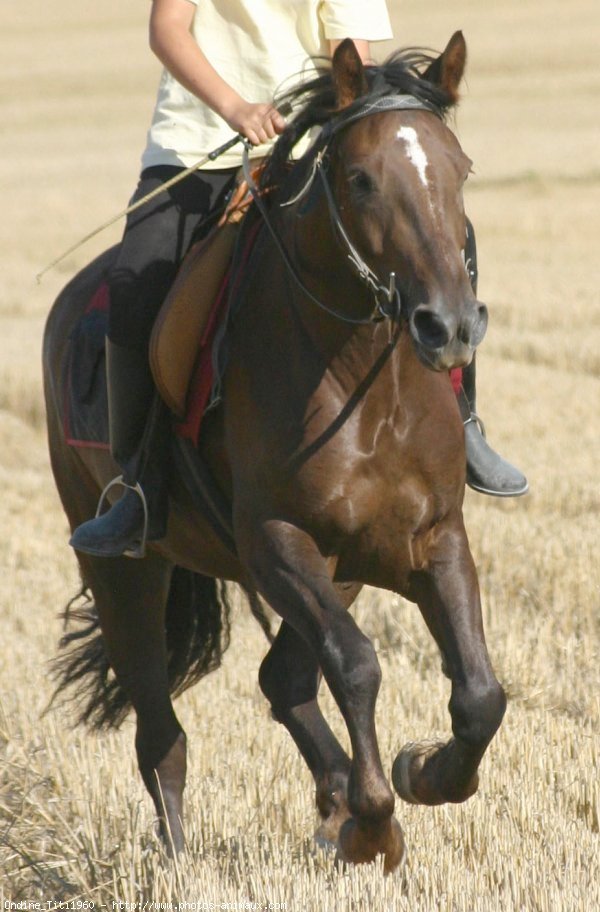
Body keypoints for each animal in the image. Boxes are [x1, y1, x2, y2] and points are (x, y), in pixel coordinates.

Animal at [43, 37, 506, 876]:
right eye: (360, 179)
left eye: (460, 169)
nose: (449, 325)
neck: (367, 384)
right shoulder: (274, 541)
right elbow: (356, 663)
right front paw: (377, 824)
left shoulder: (430, 538)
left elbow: (480, 694)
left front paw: (417, 775)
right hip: (124, 567)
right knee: (160, 729)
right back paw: (181, 860)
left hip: (342, 564)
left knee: (283, 680)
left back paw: (334, 803)